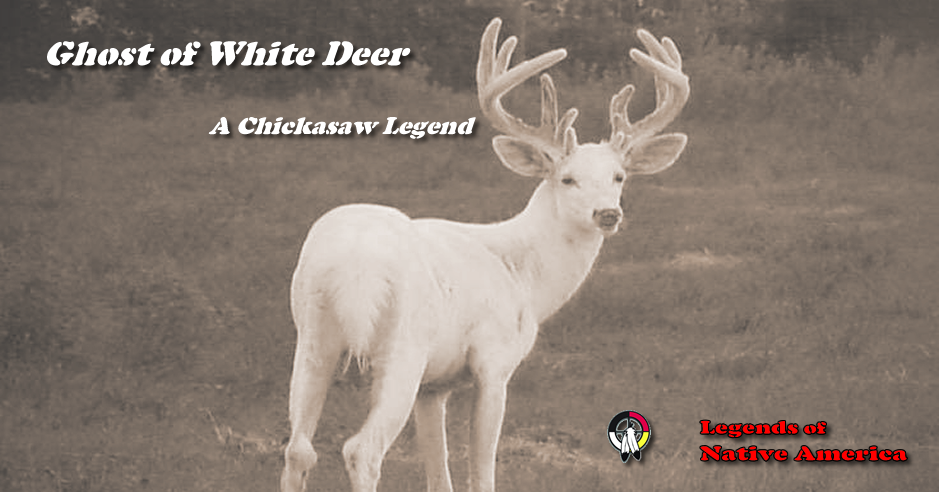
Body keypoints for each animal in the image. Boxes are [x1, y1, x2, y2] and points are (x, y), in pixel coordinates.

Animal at [281, 17, 689, 492]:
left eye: (619, 176)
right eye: (567, 179)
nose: (608, 213)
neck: (523, 275)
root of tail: (354, 266)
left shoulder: (434, 384)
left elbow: (439, 473)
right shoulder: (495, 359)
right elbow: (481, 470)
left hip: (312, 336)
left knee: (298, 448)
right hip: (403, 344)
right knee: (362, 449)